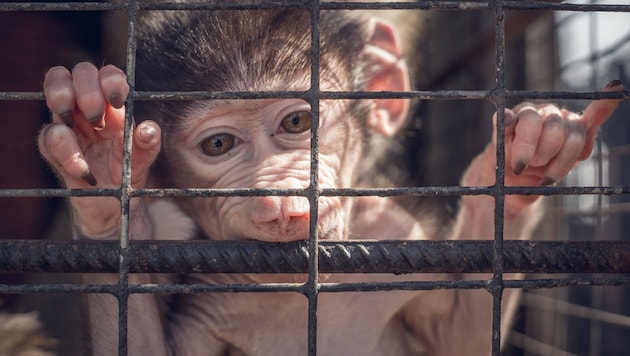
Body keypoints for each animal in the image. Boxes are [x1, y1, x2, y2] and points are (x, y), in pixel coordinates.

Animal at [37, 5, 624, 356]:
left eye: (298, 122)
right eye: (219, 146)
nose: (278, 198)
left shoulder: (401, 240)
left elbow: (459, 337)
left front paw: (532, 155)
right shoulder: (201, 292)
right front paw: (101, 162)